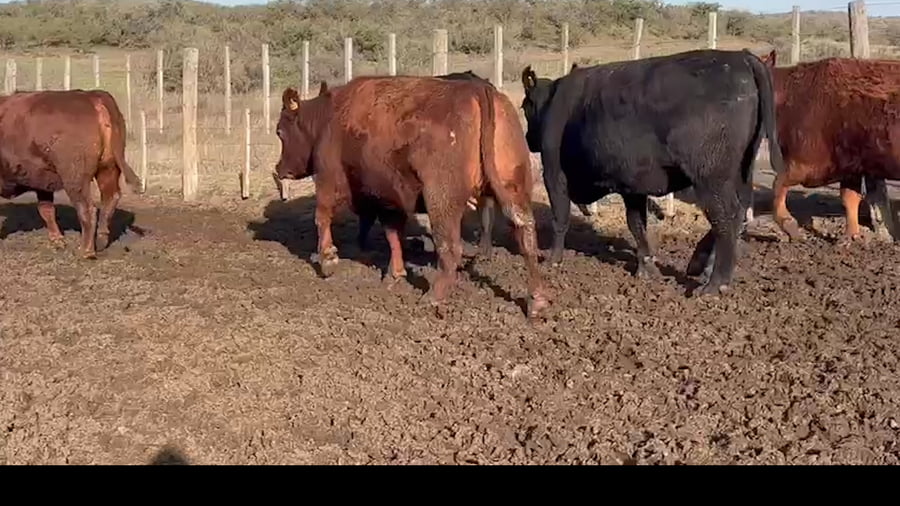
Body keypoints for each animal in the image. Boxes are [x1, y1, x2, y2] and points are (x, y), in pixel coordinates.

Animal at [0, 90, 142, 258]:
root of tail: (93, 97)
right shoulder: (43, 182)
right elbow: (46, 210)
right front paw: (58, 241)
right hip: (108, 168)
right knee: (109, 199)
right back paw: (100, 242)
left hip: (75, 180)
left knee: (87, 209)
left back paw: (86, 251)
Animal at [273, 76, 549, 317]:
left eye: (280, 131)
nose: (279, 168)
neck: (328, 119)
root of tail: (476, 90)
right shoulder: (389, 199)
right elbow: (393, 234)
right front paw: (395, 274)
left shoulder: (329, 180)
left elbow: (322, 216)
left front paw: (328, 260)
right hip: (514, 188)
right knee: (526, 237)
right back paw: (537, 301)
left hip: (441, 200)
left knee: (450, 249)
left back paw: (434, 296)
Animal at [520, 49, 785, 295]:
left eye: (524, 106)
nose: (528, 139)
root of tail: (741, 57)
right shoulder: (632, 186)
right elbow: (637, 224)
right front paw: (646, 268)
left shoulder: (554, 175)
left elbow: (560, 218)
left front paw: (553, 260)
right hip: (741, 172)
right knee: (738, 214)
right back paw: (703, 267)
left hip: (711, 180)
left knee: (725, 220)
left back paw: (714, 284)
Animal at [761, 50, 899, 245]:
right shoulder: (851, 168)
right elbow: (850, 197)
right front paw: (851, 236)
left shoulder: (806, 164)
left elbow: (777, 185)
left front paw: (790, 227)